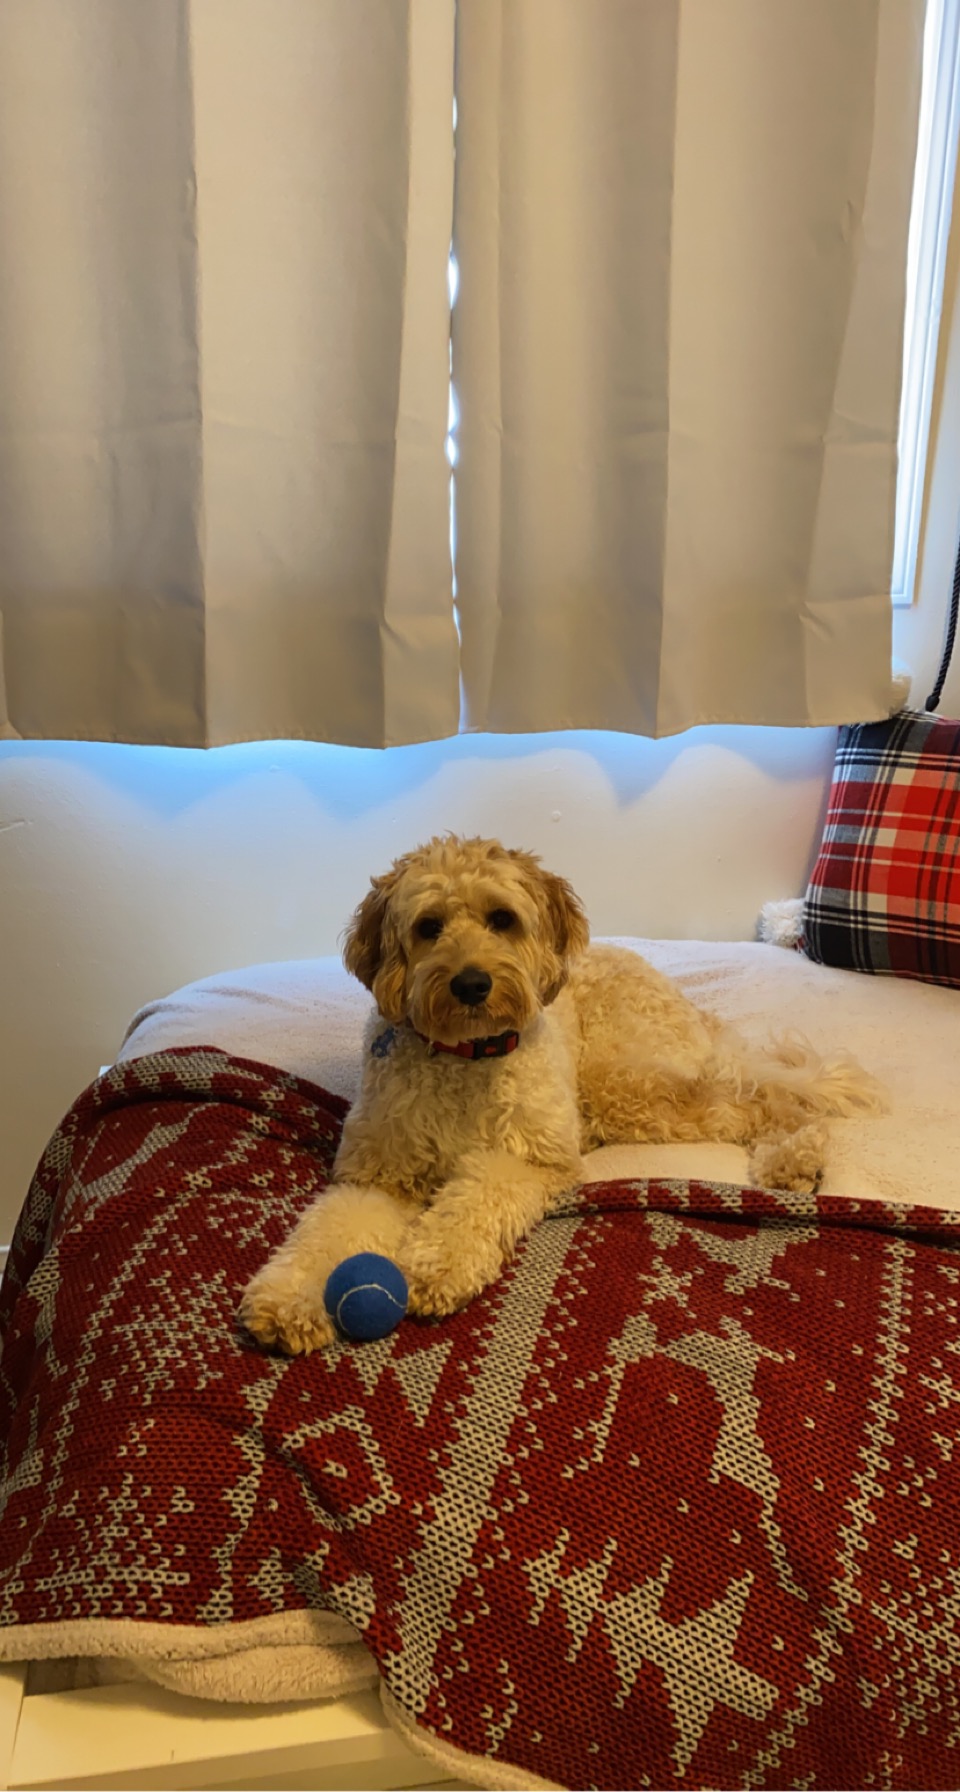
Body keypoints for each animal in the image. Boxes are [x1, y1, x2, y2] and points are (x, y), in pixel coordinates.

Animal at [239, 835, 884, 1355]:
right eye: (428, 927)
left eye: (502, 919)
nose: (471, 984)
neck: (465, 1058)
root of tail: (683, 1001)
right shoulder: (377, 1176)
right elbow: (330, 1227)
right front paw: (287, 1299)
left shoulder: (530, 1158)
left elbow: (478, 1196)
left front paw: (434, 1264)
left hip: (625, 1083)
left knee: (761, 1099)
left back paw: (795, 1157)